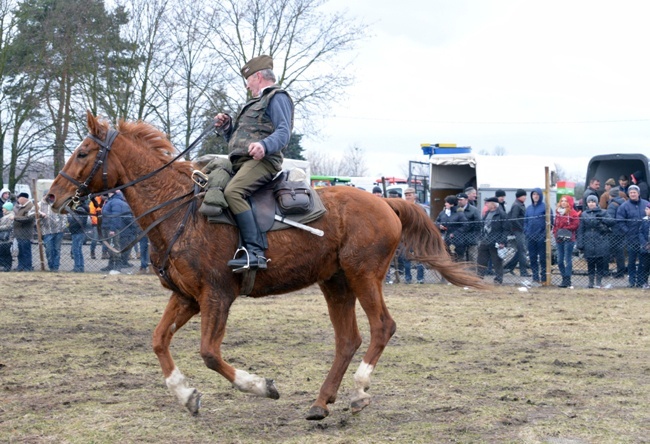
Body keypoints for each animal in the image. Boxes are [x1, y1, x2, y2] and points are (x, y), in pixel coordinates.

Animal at [48, 110, 484, 420]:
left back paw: (359, 392)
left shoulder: (218, 296)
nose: (53, 196)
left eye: (83, 153)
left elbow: (209, 353)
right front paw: (186, 395)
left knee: (382, 327)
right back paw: (321, 402)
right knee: (348, 339)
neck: (180, 211)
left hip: (365, 275)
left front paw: (259, 385)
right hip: (336, 283)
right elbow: (158, 340)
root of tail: (385, 202)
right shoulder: (187, 298)